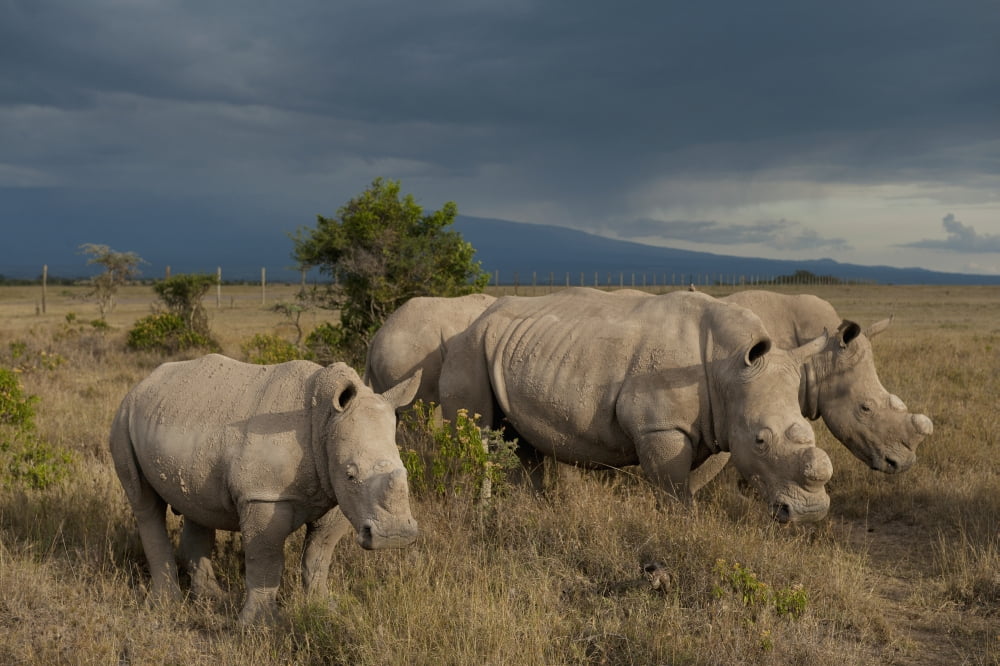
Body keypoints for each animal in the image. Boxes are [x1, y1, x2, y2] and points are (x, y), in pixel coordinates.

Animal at [109, 353, 421, 625]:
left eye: (404, 469)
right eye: (350, 474)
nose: (394, 536)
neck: (324, 420)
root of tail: (143, 383)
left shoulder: (335, 495)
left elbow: (319, 556)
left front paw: (324, 608)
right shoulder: (263, 496)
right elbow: (266, 558)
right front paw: (260, 625)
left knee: (196, 506)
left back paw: (214, 598)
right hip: (124, 418)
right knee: (145, 504)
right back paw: (166, 603)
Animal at [438, 288, 833, 522]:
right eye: (760, 441)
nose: (809, 513)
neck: (730, 364)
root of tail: (476, 319)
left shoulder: (712, 423)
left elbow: (689, 482)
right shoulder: (660, 426)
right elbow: (673, 487)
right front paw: (680, 526)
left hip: (511, 347)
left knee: (521, 438)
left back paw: (528, 510)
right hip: (468, 348)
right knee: (474, 435)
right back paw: (473, 513)